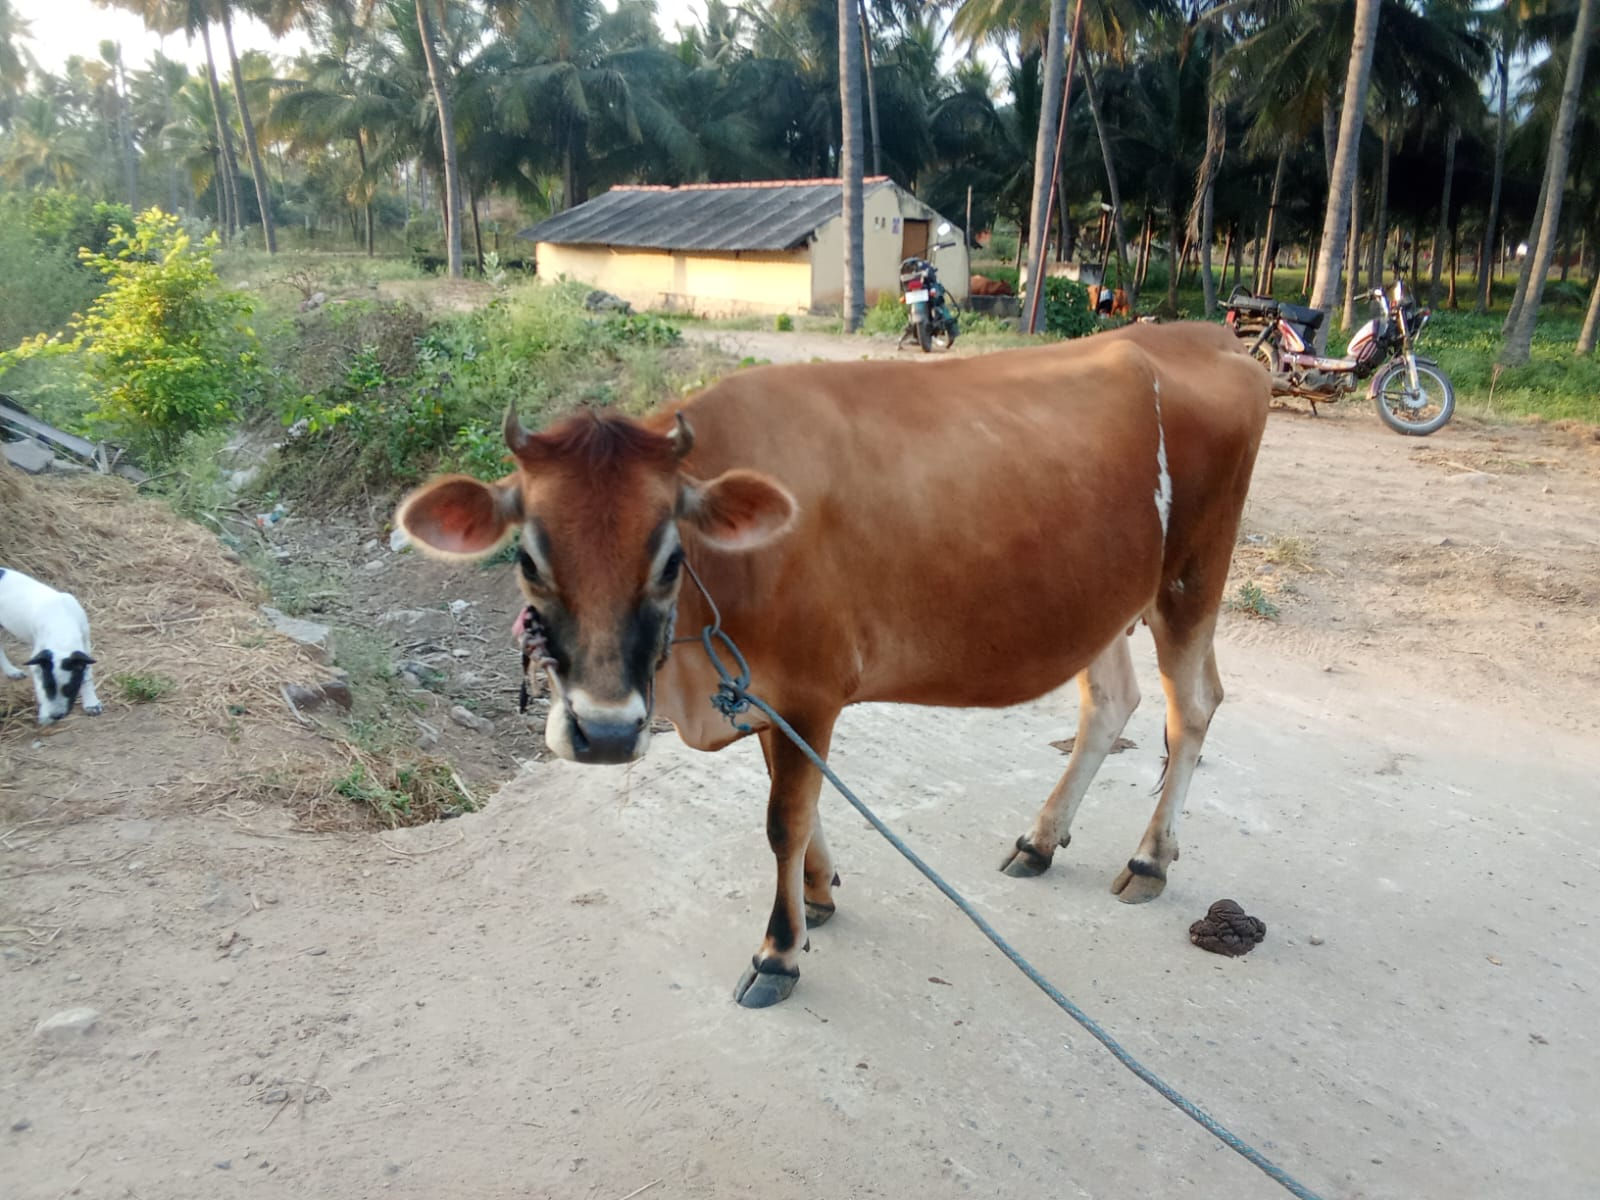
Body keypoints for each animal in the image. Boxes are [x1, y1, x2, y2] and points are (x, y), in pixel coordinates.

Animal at [395, 322, 1270, 1008]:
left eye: (671, 558)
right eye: (528, 557)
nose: (604, 733)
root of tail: (1209, 336)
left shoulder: (811, 688)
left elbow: (784, 816)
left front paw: (778, 952)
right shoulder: (759, 691)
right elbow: (803, 803)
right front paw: (816, 896)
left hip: (1192, 576)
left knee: (1193, 705)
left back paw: (1149, 858)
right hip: (1104, 600)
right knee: (1111, 702)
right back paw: (1041, 841)